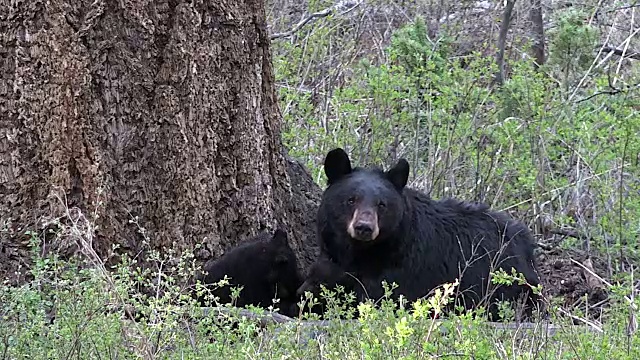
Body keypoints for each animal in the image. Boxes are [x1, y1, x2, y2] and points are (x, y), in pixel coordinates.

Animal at [316, 148, 540, 322]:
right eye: (351, 199)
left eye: (382, 204)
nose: (364, 227)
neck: (362, 252)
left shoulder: (403, 269)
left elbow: (378, 297)